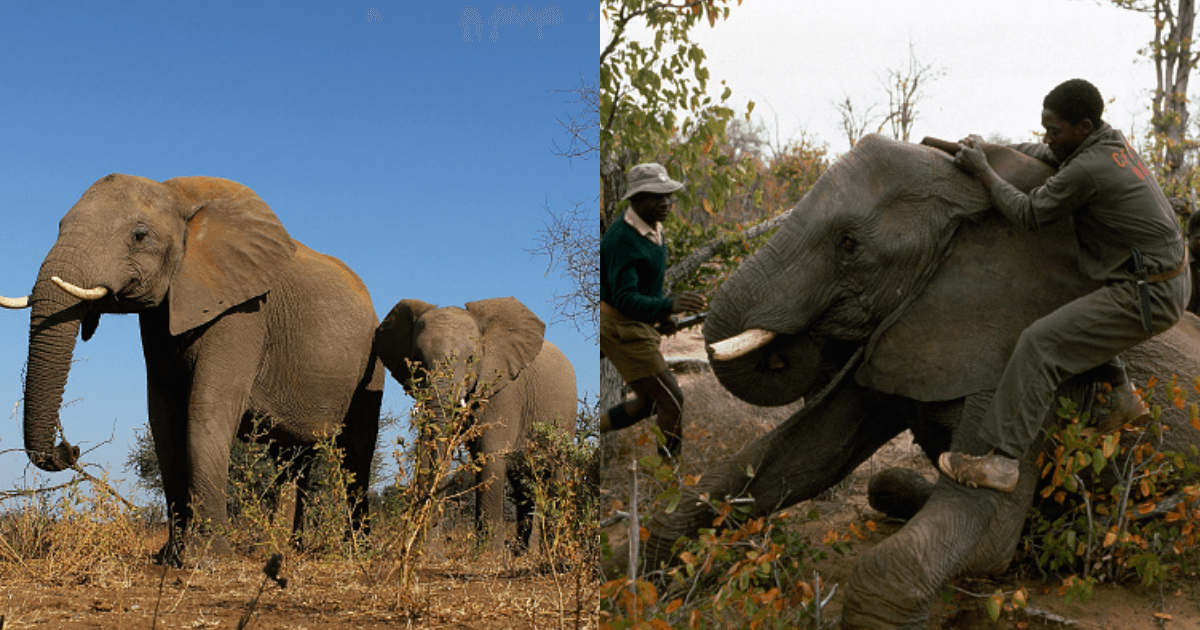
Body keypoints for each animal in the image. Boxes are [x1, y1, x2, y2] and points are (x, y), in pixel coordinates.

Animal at [2, 174, 385, 565]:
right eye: (59, 226)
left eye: (140, 235)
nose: (70, 448)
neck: (178, 197)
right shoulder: (161, 316)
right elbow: (163, 416)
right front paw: (170, 556)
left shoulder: (242, 311)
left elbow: (207, 408)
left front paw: (209, 558)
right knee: (294, 458)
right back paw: (283, 550)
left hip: (372, 360)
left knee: (356, 452)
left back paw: (356, 552)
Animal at [374, 296, 577, 553]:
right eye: (417, 359)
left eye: (471, 360)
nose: (423, 546)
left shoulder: (503, 390)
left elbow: (488, 453)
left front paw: (488, 556)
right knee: (522, 480)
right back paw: (522, 553)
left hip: (565, 417)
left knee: (553, 473)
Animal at [614, 135, 1200, 629]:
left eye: (849, 244)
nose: (790, 345)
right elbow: (803, 455)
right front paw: (636, 574)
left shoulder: (1019, 355)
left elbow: (987, 539)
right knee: (879, 482)